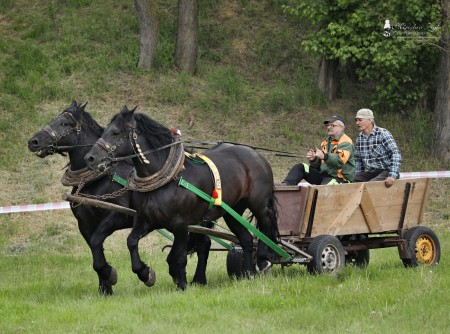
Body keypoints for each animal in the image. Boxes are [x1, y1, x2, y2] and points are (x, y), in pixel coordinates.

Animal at [27, 100, 212, 294]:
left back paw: (199, 279)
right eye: (54, 119)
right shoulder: (84, 224)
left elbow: (97, 242)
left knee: (204, 243)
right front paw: (105, 287)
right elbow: (95, 249)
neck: (99, 179)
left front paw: (114, 274)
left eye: (64, 123)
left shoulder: (116, 216)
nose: (33, 142)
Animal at [83, 106, 280, 290]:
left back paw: (263, 260)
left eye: (116, 132)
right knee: (246, 239)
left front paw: (182, 284)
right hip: (233, 211)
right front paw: (145, 273)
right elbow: (131, 241)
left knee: (265, 225)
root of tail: (256, 155)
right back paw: (248, 273)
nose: (90, 158)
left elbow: (179, 257)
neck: (169, 179)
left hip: (258, 203)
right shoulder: (147, 220)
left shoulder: (180, 224)